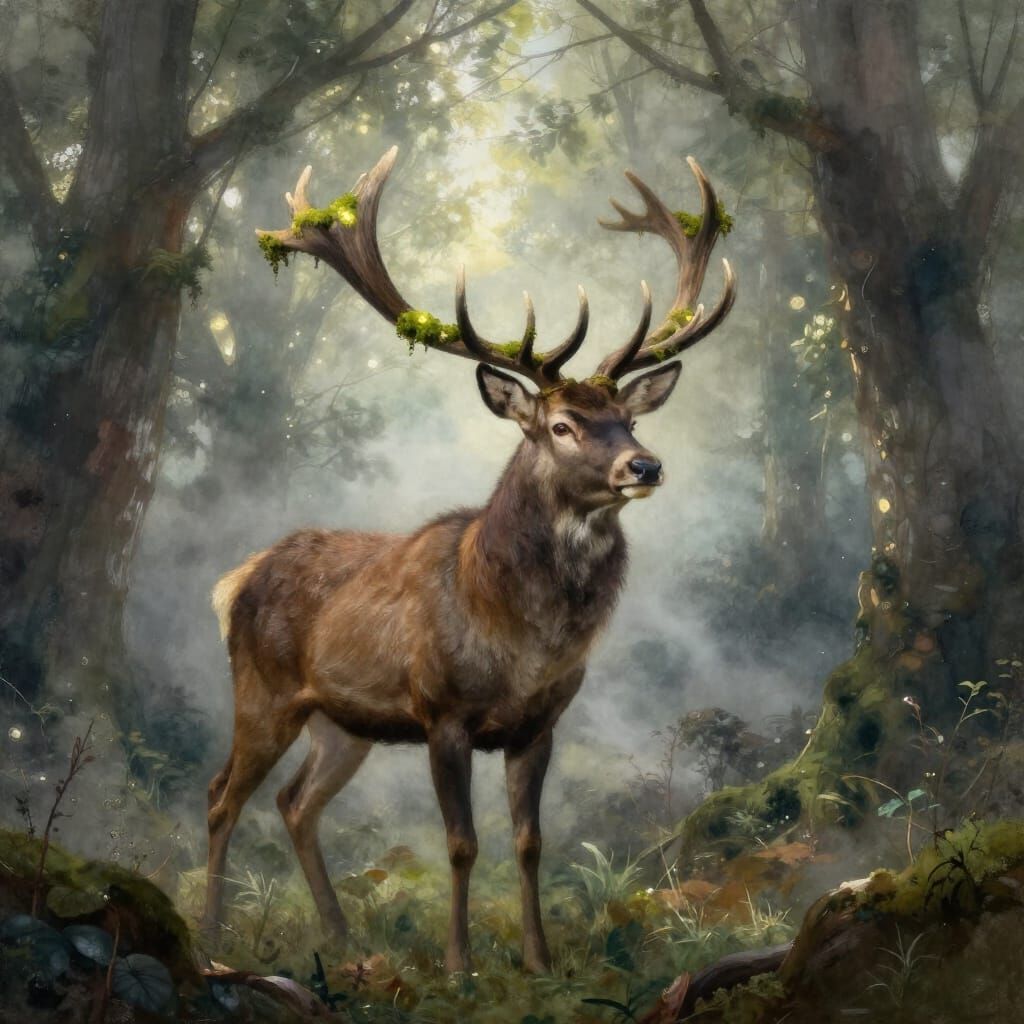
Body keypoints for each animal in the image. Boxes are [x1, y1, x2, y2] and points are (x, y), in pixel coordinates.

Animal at [202, 147, 735, 974]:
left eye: (627, 416)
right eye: (561, 425)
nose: (644, 466)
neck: (520, 635)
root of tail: (236, 579)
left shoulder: (539, 725)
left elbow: (529, 841)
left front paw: (539, 961)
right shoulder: (442, 712)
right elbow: (460, 844)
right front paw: (458, 965)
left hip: (343, 723)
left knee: (295, 803)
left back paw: (342, 937)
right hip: (264, 691)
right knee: (222, 797)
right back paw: (211, 938)